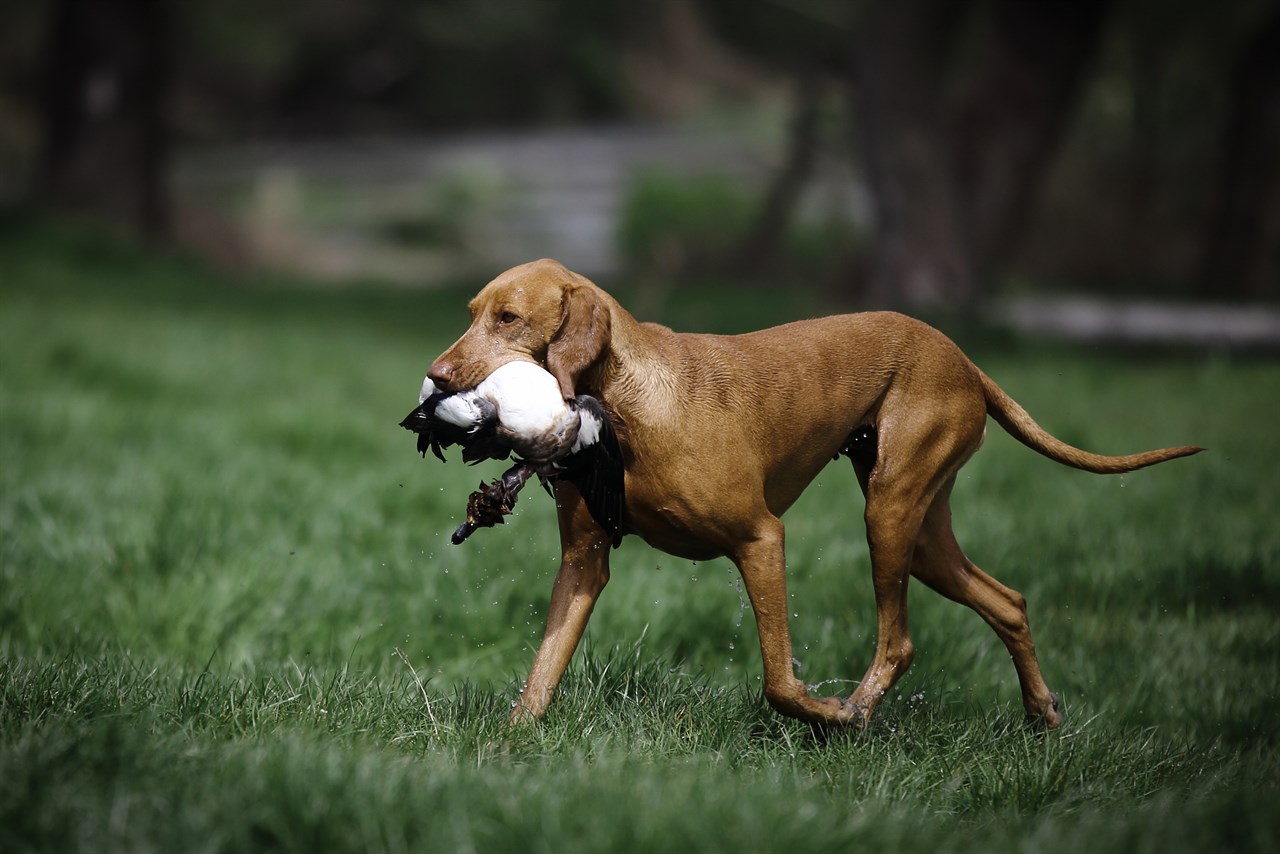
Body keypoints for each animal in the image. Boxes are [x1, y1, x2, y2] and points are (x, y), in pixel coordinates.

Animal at [427, 258, 1198, 727]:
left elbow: (778, 680)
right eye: (470, 311)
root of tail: (966, 360)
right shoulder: (584, 562)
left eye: (508, 319)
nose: (435, 379)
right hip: (923, 536)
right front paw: (513, 748)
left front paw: (823, 715)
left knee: (901, 642)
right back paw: (1042, 716)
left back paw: (855, 712)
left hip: (888, 513)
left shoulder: (761, 539)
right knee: (1007, 602)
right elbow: (541, 673)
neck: (623, 406)